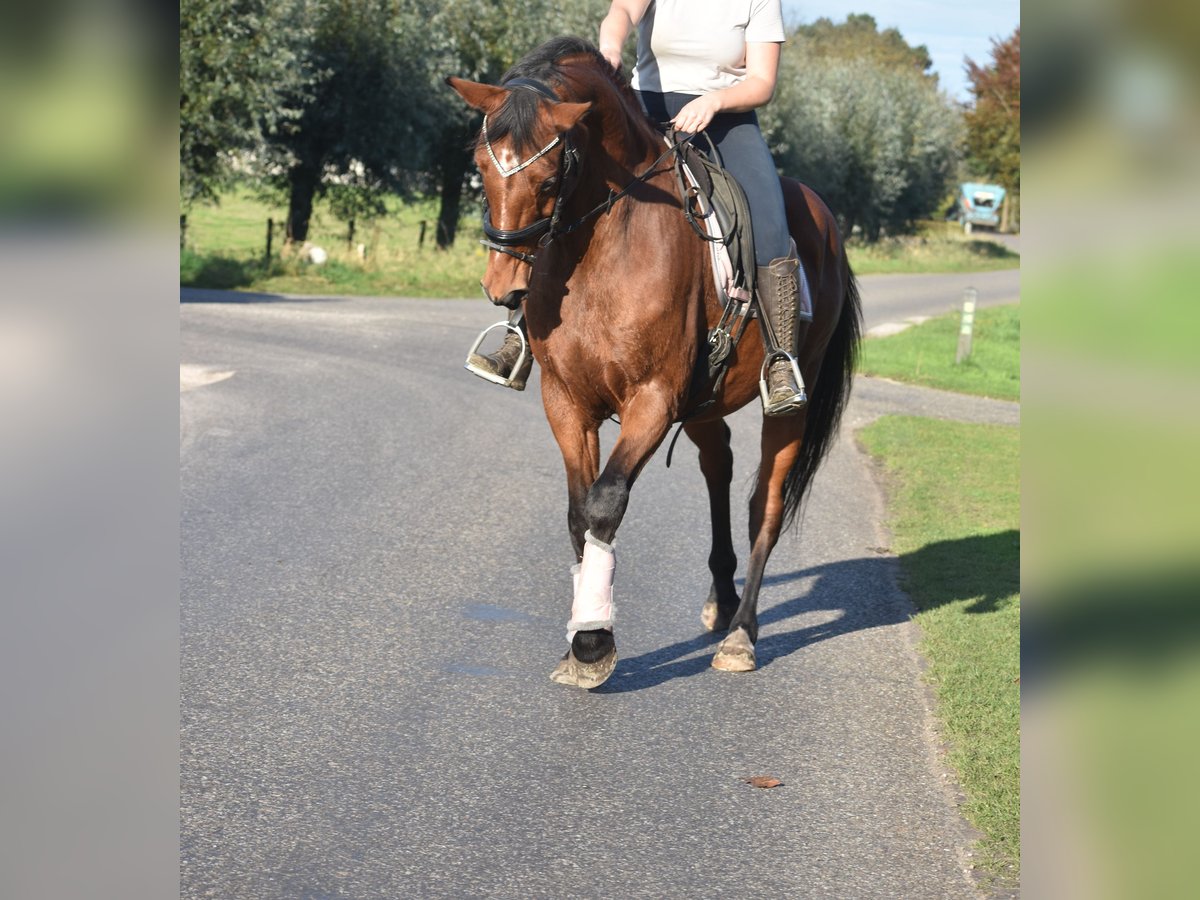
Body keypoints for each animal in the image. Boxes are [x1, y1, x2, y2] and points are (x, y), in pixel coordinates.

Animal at [451, 37, 864, 691]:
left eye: (550, 177)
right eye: (481, 166)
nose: (502, 286)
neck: (602, 243)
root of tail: (823, 215)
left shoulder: (651, 398)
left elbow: (604, 503)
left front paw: (592, 642)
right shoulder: (566, 400)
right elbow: (578, 512)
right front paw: (581, 637)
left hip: (788, 403)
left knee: (764, 506)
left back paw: (741, 634)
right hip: (705, 400)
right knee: (719, 467)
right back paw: (721, 599)